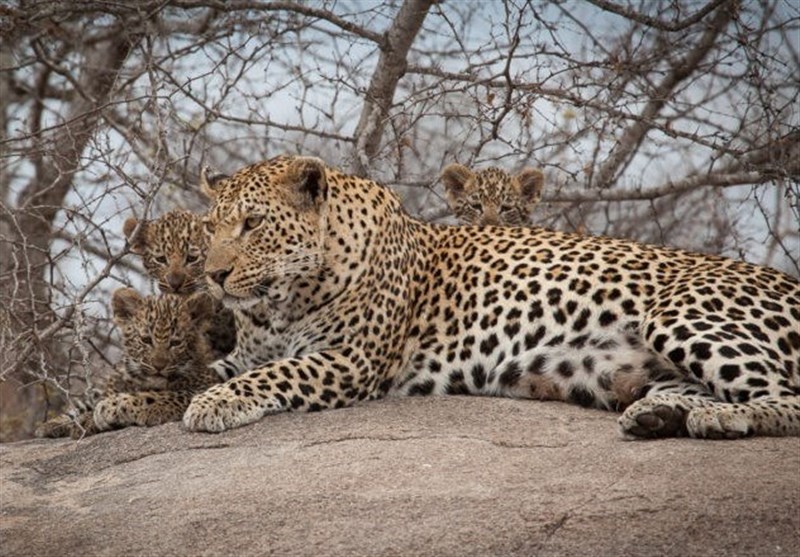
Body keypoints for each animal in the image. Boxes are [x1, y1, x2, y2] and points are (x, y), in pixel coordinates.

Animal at [35, 286, 219, 438]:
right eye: (146, 340)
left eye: (175, 343)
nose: (159, 366)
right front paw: (80, 420)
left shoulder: (201, 387)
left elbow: (163, 395)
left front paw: (97, 416)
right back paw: (52, 425)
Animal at [181, 155, 800, 438]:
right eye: (210, 227)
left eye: (253, 224)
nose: (213, 276)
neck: (278, 303)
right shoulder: (243, 351)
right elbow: (203, 371)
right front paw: (185, 395)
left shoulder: (351, 360)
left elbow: (276, 374)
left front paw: (215, 404)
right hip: (637, 367)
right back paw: (660, 415)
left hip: (680, 313)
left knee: (784, 396)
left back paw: (715, 420)